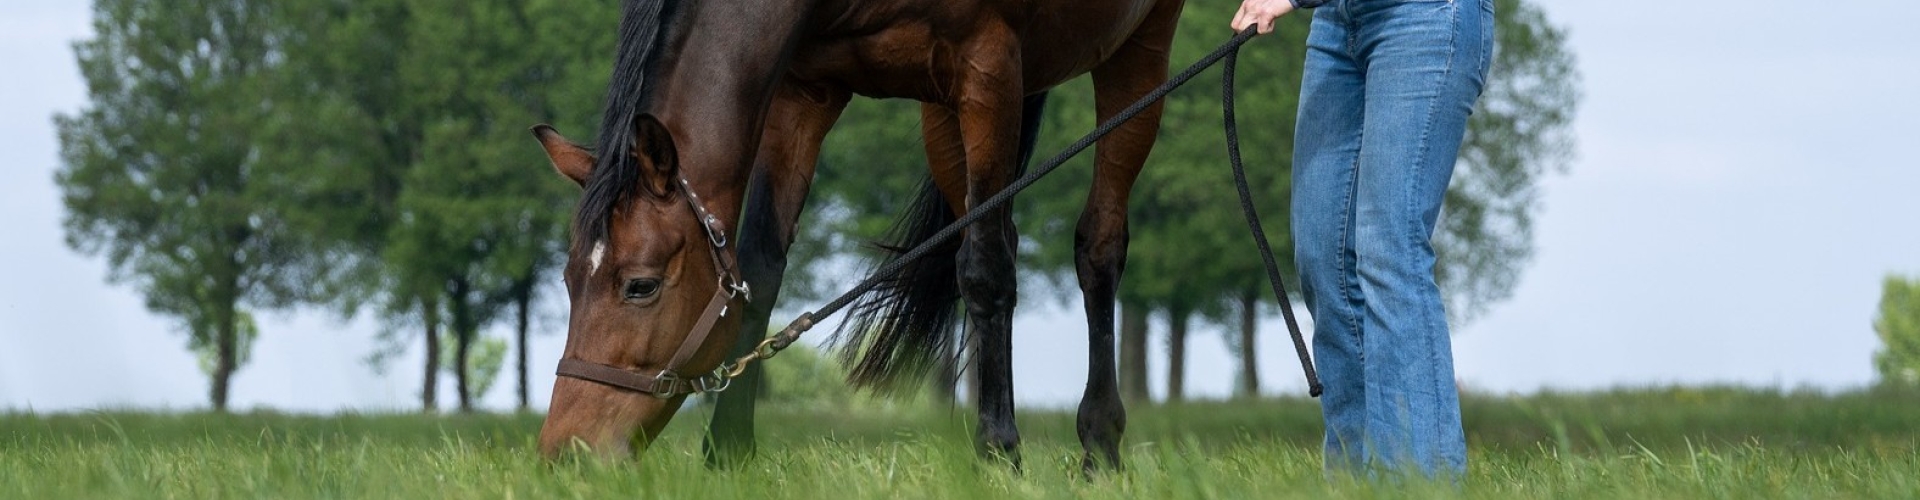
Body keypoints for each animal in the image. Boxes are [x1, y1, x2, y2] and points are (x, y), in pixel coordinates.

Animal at [530, 0, 1185, 471]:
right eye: (567, 280)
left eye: (639, 286)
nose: (565, 454)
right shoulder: (803, 92)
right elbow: (761, 271)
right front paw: (728, 453)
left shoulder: (990, 68)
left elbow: (986, 271)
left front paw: (999, 453)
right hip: (942, 111)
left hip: (1137, 48)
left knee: (1096, 247)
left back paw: (1099, 445)